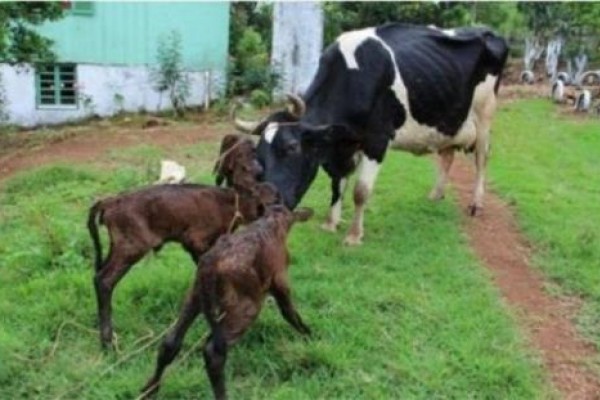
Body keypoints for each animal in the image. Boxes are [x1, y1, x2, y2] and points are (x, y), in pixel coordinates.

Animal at [87, 134, 278, 346]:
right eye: (247, 153)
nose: (260, 171)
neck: (230, 201)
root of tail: (110, 201)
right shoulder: (197, 242)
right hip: (131, 248)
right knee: (104, 280)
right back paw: (107, 341)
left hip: (117, 246)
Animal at [138, 205, 312, 398]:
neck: (272, 222)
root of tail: (209, 265)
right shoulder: (280, 279)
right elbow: (290, 312)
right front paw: (309, 336)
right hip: (245, 307)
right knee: (213, 353)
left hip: (195, 296)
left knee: (170, 342)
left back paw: (150, 389)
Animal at [232, 23, 508, 245]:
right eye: (258, 155)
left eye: (291, 147)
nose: (265, 205)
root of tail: (486, 30)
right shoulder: (342, 145)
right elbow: (337, 184)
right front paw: (331, 223)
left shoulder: (377, 140)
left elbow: (360, 191)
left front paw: (354, 236)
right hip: (449, 121)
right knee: (447, 155)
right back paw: (436, 194)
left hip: (485, 115)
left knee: (482, 159)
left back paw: (476, 203)